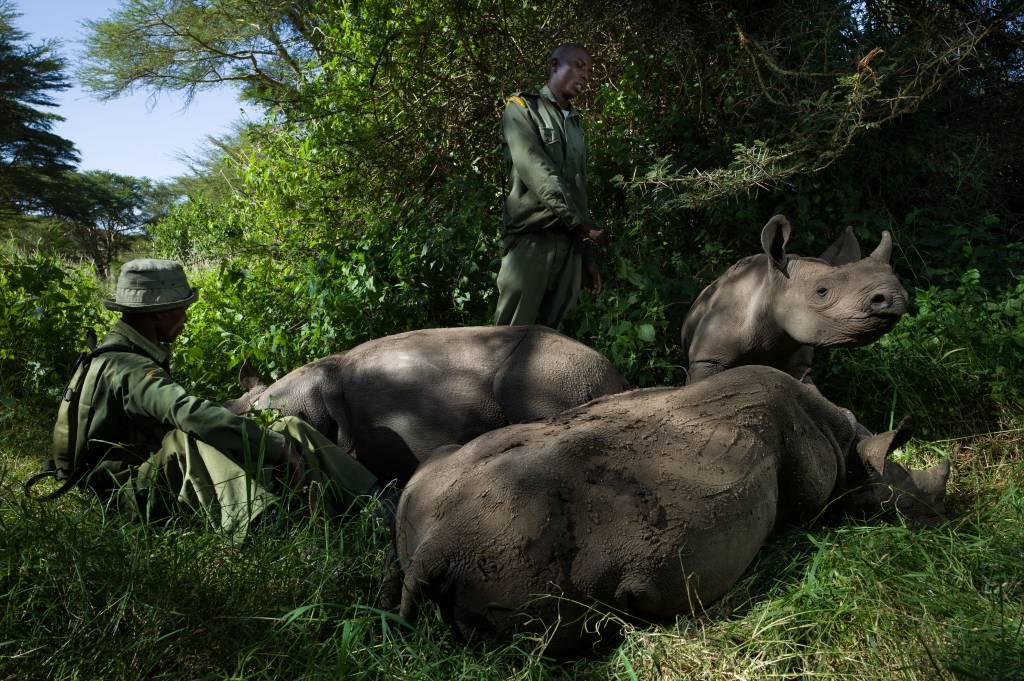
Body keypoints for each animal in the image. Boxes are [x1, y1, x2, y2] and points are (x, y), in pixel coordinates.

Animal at [393, 364, 950, 655]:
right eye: (901, 502)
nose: (944, 516)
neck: (848, 446)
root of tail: (437, 548)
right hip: (524, 555)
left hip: (427, 492)